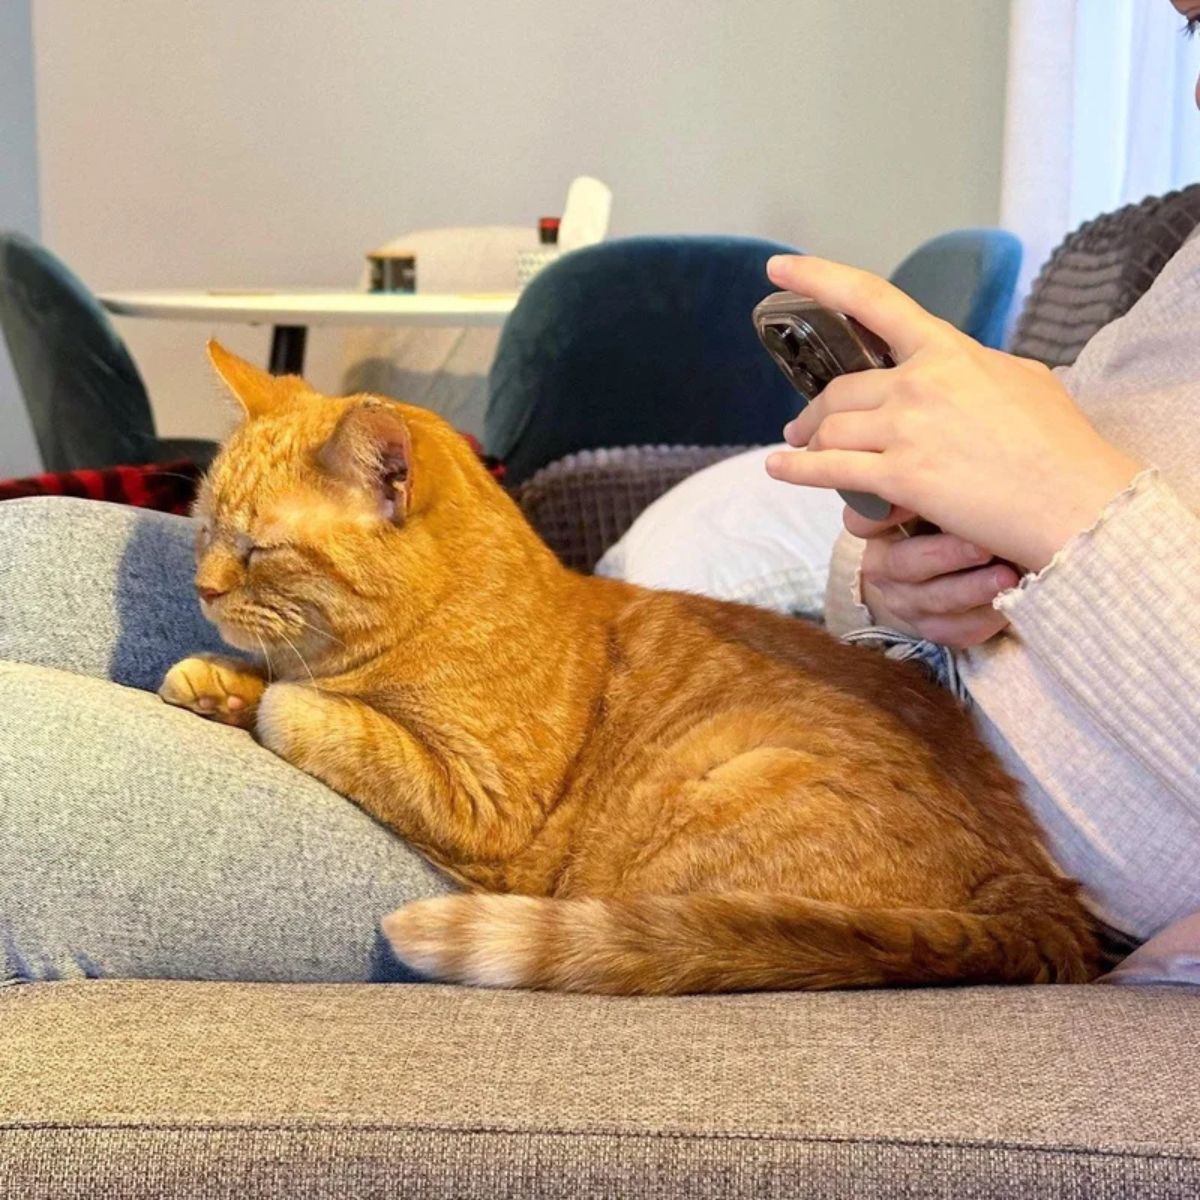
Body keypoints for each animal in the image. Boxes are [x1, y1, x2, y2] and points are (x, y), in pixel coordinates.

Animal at [159, 340, 1099, 993]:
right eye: (203, 528)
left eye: (257, 550)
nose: (201, 587)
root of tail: (1037, 892)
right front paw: (218, 680)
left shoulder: (483, 804)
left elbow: (321, 718)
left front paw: (270, 697)